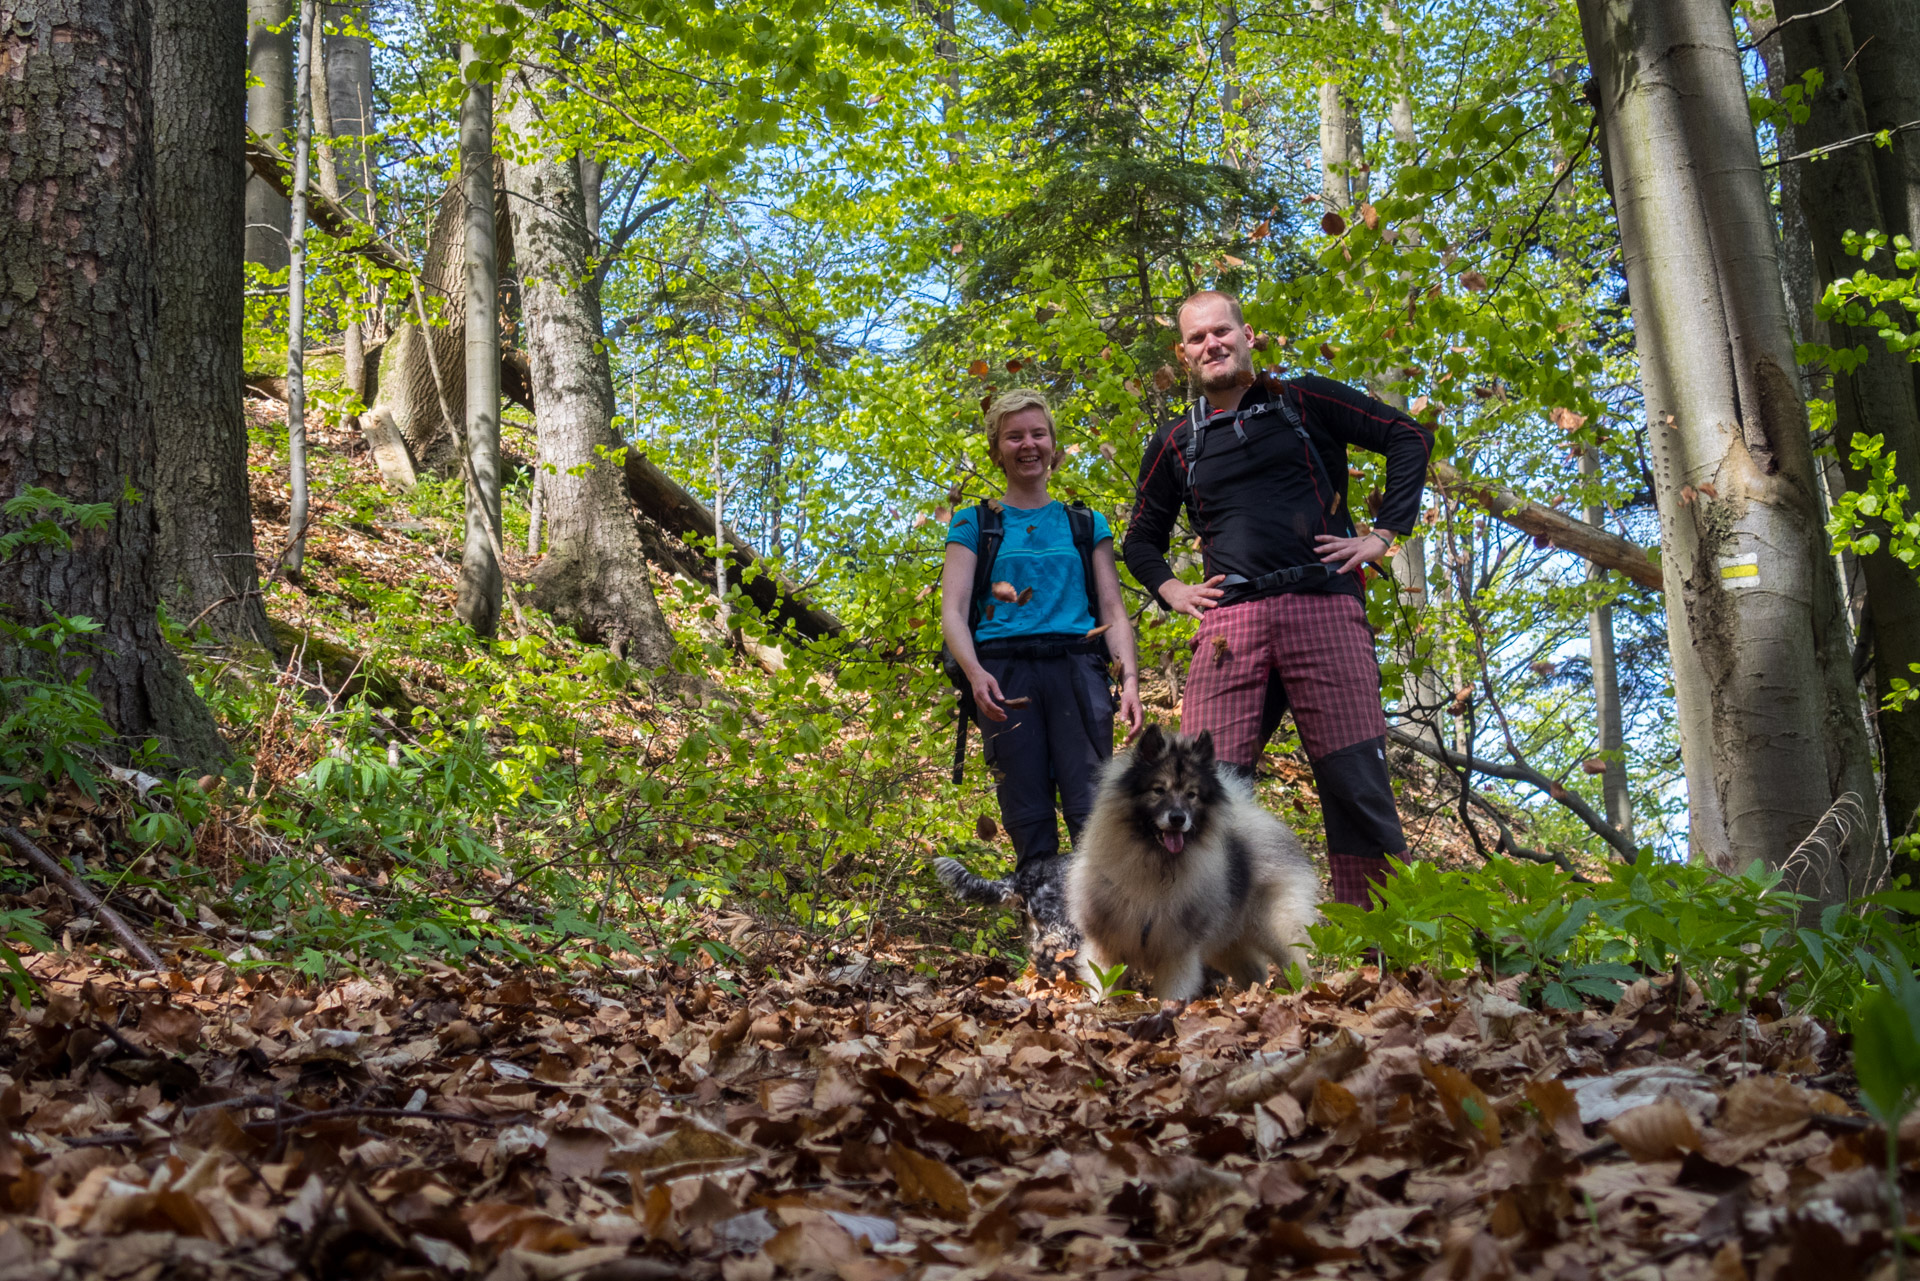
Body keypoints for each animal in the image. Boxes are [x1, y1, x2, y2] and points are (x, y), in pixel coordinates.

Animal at [1067, 725, 1320, 998]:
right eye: (1159, 790)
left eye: (1192, 795)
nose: (1178, 818)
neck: (1156, 865)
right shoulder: (1106, 944)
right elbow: (1103, 986)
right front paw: (1101, 1007)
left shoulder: (1178, 952)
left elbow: (1172, 994)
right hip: (1228, 942)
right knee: (1254, 971)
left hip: (1274, 928)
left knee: (1297, 965)